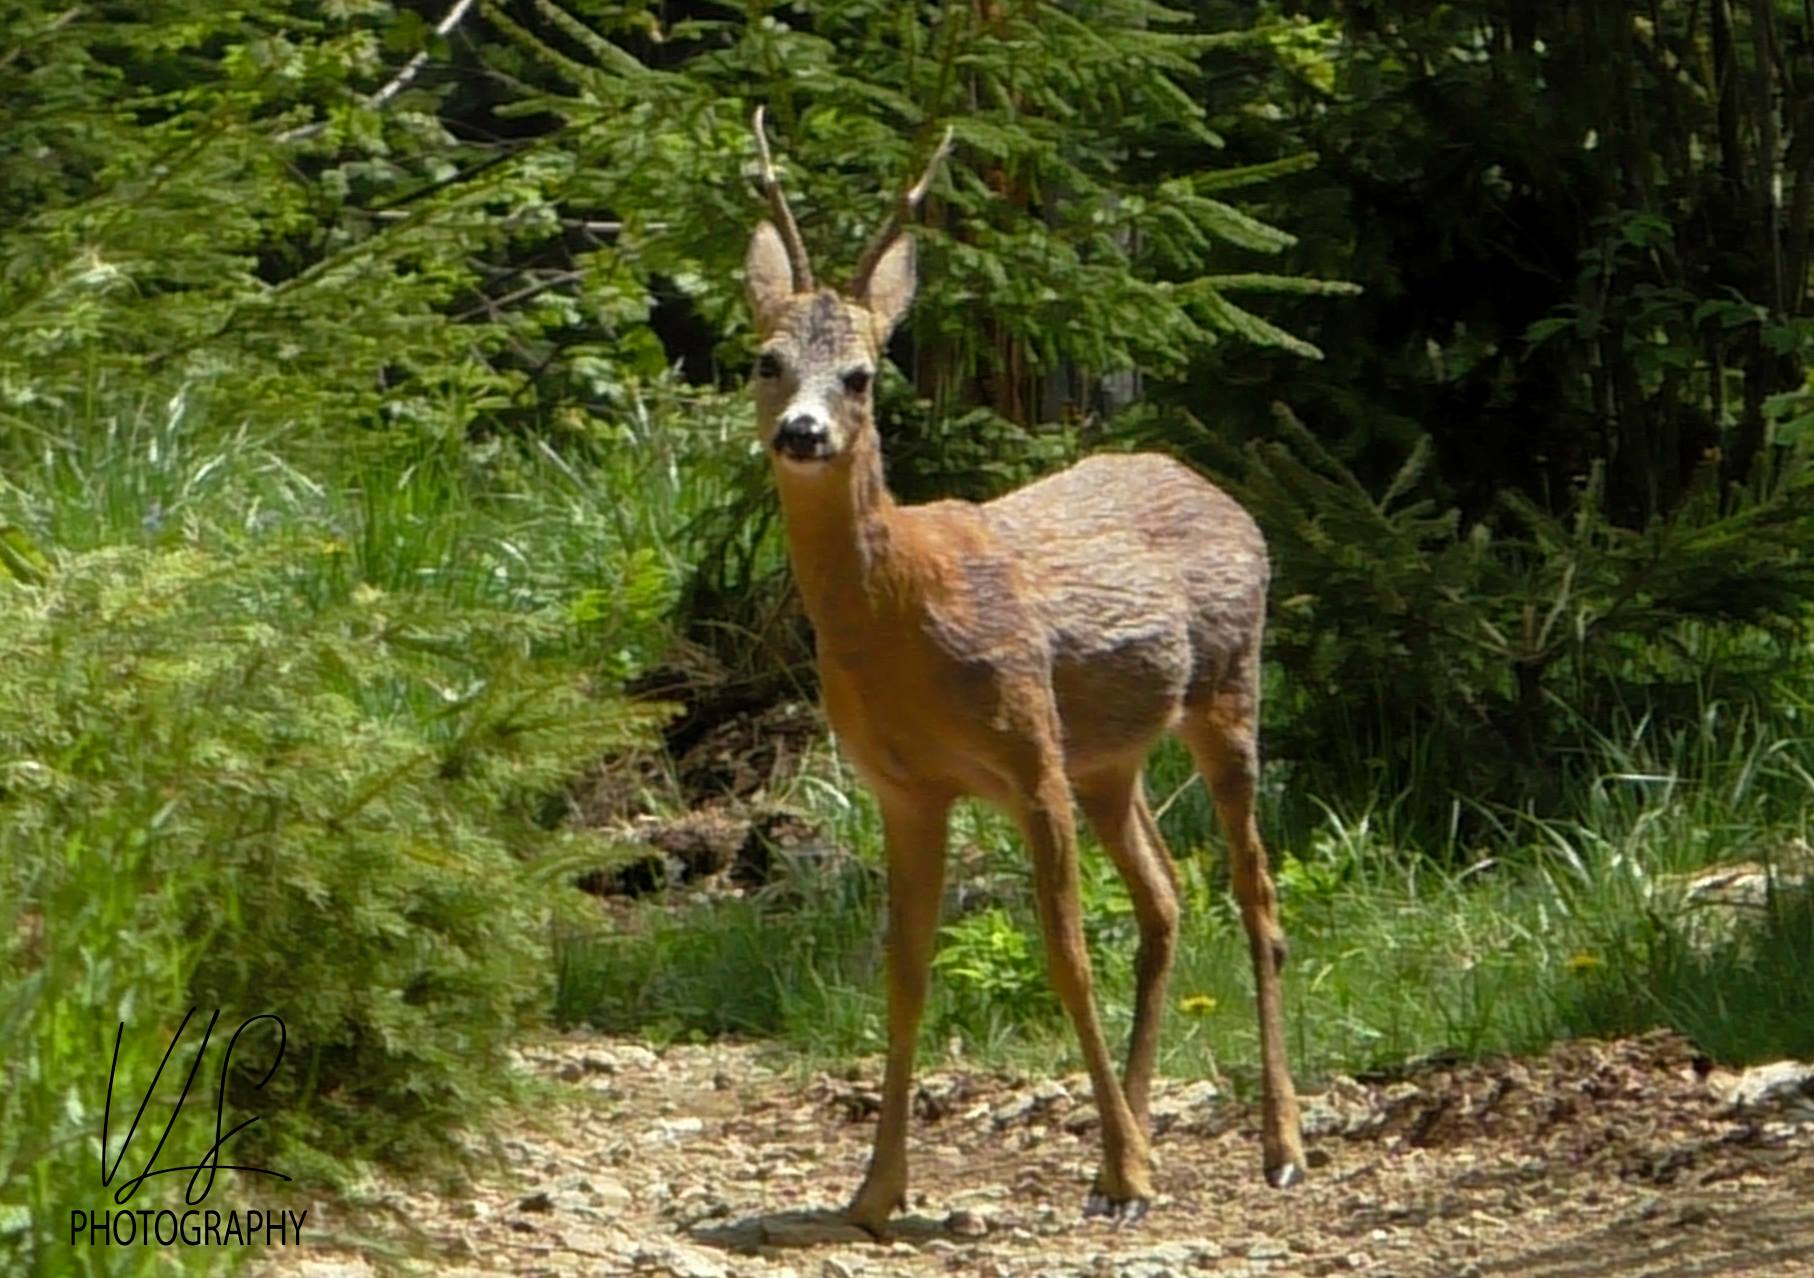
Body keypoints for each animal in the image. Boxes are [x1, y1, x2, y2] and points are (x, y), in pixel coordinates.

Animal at [742, 108, 1306, 1233]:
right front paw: (874, 1190)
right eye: (765, 361)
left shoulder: (1027, 753)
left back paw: (1275, 1148)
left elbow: (1066, 954)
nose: (802, 433)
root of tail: (1223, 495)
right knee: (1165, 898)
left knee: (1255, 895)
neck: (903, 613)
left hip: (1226, 687)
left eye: (862, 374)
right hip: (1109, 758)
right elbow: (905, 972)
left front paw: (1130, 1169)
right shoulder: (906, 787)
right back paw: (1128, 1149)